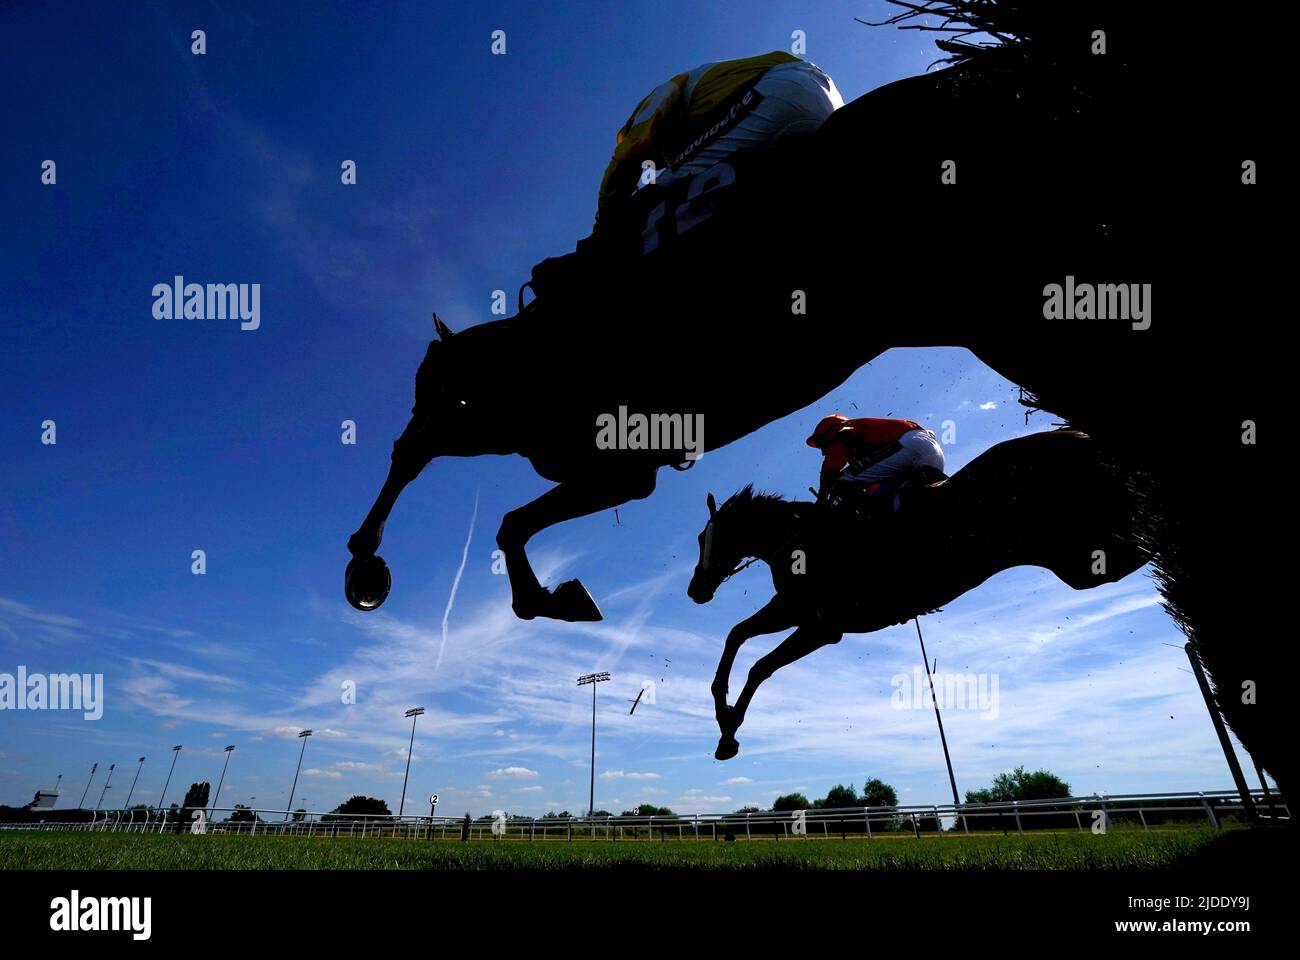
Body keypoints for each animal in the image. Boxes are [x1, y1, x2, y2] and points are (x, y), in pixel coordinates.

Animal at [686, 431, 1144, 754]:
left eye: (705, 539)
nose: (695, 590)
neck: (802, 536)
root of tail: (1081, 436)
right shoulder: (795, 609)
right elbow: (736, 635)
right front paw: (722, 713)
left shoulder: (822, 626)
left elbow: (760, 666)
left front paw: (729, 730)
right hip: (1080, 559)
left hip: (1092, 554)